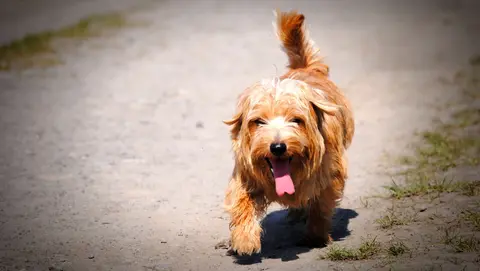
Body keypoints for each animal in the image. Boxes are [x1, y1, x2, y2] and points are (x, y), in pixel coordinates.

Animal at [223, 9, 354, 258]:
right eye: (258, 121)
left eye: (296, 120)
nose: (277, 147)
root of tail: (305, 68)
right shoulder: (246, 175)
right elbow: (241, 202)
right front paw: (244, 239)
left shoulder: (330, 175)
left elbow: (321, 205)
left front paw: (316, 235)